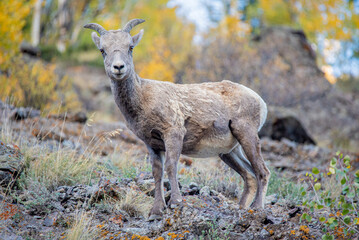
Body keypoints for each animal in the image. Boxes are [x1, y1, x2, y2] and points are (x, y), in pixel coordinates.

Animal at [84, 19, 270, 220]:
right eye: (103, 50)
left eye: (130, 47)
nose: (118, 68)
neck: (142, 99)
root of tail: (260, 101)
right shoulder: (152, 144)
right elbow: (157, 173)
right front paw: (156, 210)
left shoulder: (173, 134)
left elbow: (171, 166)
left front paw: (175, 202)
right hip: (229, 151)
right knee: (249, 176)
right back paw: (242, 208)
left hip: (247, 135)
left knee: (262, 171)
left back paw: (257, 208)